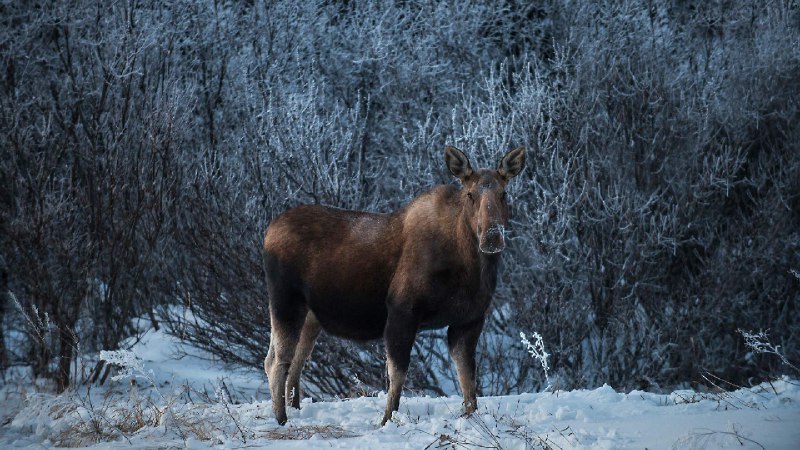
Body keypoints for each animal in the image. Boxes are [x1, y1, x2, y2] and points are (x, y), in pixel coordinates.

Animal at [262, 146, 525, 425]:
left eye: (504, 193)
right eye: (470, 194)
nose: (492, 236)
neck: (470, 268)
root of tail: (268, 232)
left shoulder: (468, 320)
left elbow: (468, 380)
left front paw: (471, 417)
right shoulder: (402, 310)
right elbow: (397, 374)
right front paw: (386, 420)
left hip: (311, 316)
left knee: (293, 361)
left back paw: (295, 409)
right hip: (285, 301)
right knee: (277, 360)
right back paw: (281, 419)